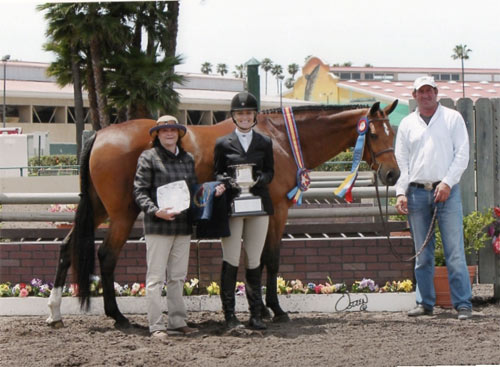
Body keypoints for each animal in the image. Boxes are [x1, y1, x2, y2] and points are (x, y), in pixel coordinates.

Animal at [47, 100, 398, 328]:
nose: (392, 175)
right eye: (374, 134)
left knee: (66, 248)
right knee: (106, 255)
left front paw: (261, 310)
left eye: (393, 133)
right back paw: (117, 316)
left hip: (98, 209)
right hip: (121, 214)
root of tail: (100, 135)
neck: (281, 138)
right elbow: (270, 259)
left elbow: (255, 260)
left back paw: (55, 312)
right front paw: (275, 310)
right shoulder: (277, 211)